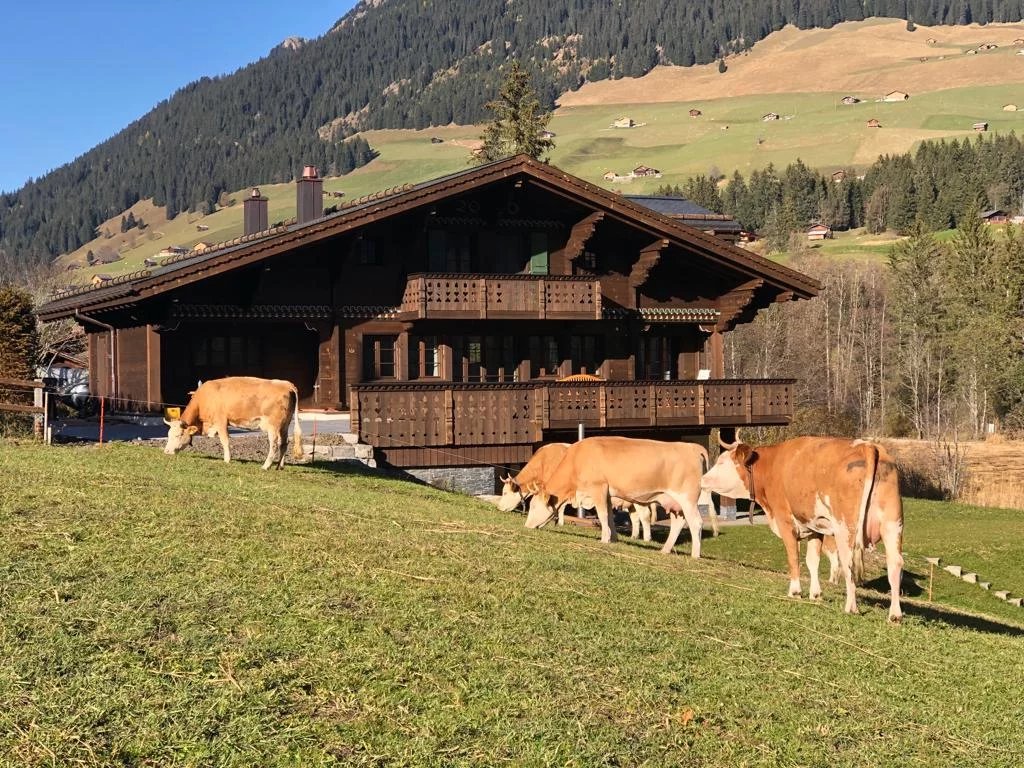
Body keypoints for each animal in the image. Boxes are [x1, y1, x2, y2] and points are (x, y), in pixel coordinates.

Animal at [163, 376, 303, 473]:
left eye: (178, 435)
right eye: (168, 435)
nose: (166, 451)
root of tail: (287, 385)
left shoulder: (221, 421)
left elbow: (225, 441)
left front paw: (227, 460)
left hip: (273, 426)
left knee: (273, 444)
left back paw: (266, 466)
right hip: (284, 425)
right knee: (283, 443)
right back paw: (280, 466)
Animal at [520, 438, 712, 561]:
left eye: (534, 507)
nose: (526, 526)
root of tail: (693, 447)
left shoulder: (598, 488)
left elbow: (603, 515)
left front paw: (604, 539)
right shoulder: (608, 494)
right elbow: (610, 517)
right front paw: (613, 538)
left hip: (687, 499)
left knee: (696, 523)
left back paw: (695, 555)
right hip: (673, 502)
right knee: (678, 522)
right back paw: (665, 550)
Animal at [700, 436, 901, 622]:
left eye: (722, 462)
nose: (702, 479)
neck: (771, 465)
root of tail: (867, 446)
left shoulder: (785, 521)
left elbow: (793, 557)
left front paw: (795, 591)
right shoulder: (815, 528)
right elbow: (812, 561)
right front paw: (815, 594)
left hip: (845, 528)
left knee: (848, 562)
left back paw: (851, 607)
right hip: (892, 525)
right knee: (895, 564)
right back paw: (895, 615)